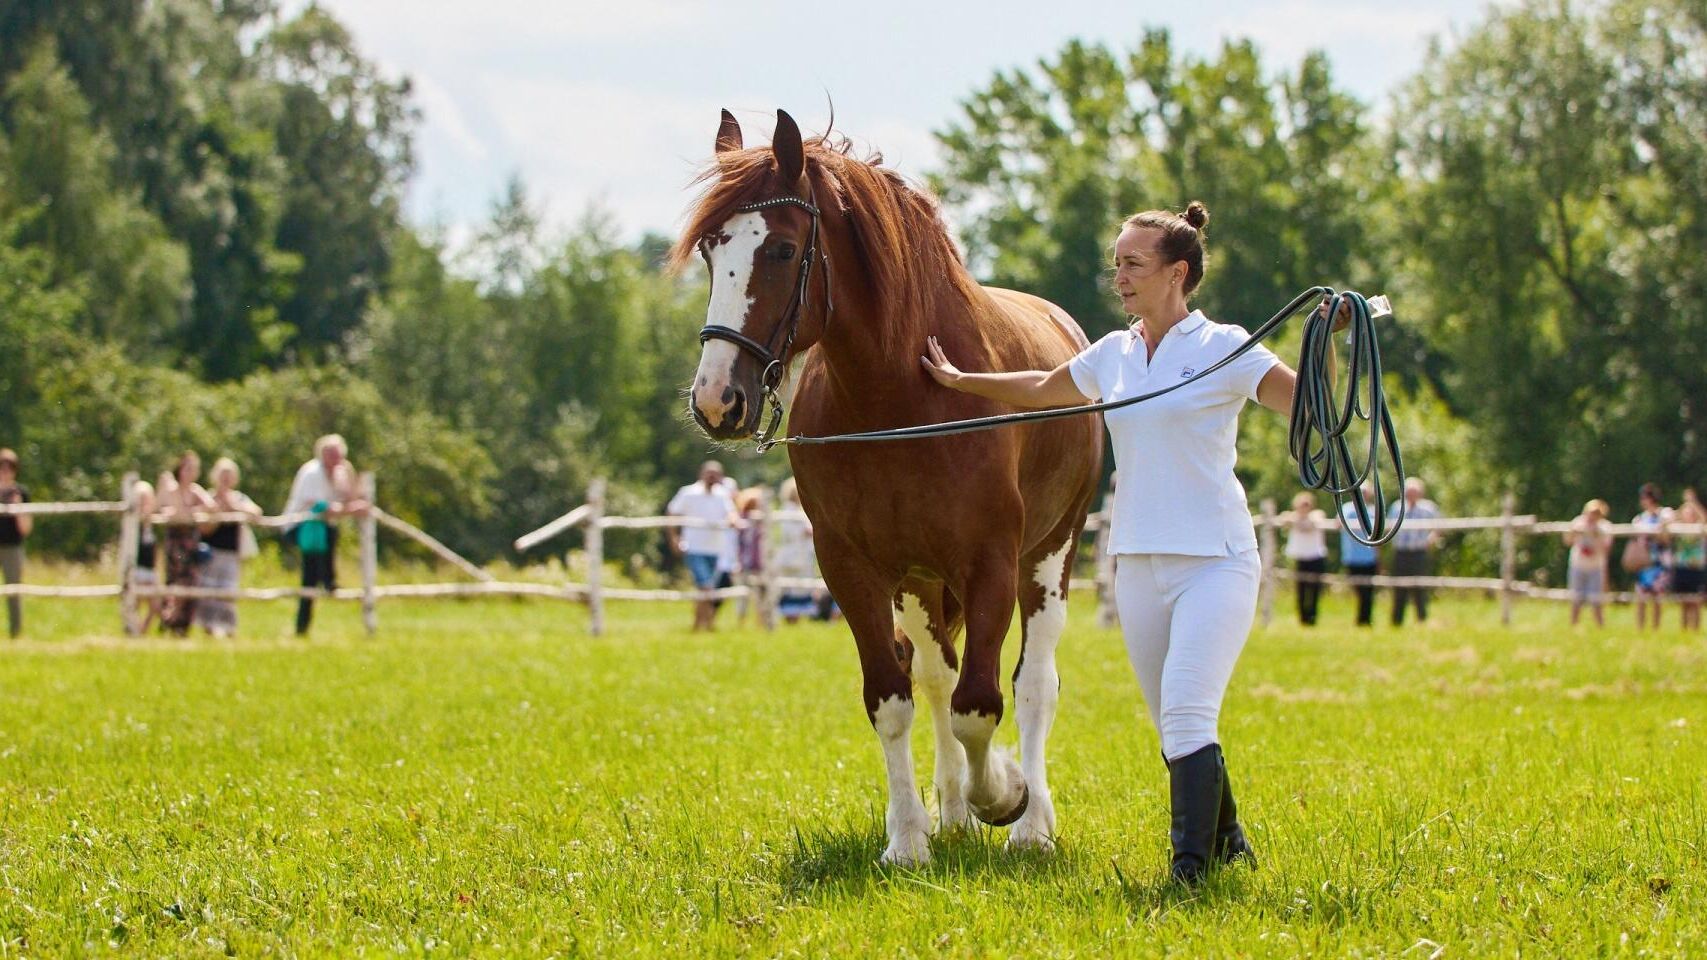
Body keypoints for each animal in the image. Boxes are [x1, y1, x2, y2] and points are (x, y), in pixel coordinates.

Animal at [679, 108, 1106, 864]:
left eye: (782, 250)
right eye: (709, 247)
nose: (716, 399)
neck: (898, 397)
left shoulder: (991, 564)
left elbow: (981, 706)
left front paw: (1005, 793)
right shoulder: (853, 569)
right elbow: (895, 698)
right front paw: (910, 837)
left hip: (1050, 556)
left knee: (1032, 685)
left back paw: (1029, 826)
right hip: (918, 583)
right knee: (936, 677)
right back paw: (954, 812)